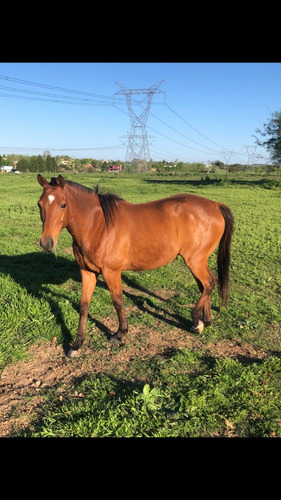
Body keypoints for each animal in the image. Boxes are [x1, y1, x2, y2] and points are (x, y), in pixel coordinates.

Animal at [37, 174, 234, 358]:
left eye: (63, 205)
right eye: (40, 205)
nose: (46, 243)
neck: (98, 226)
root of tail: (216, 205)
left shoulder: (111, 272)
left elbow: (118, 302)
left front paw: (119, 333)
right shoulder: (87, 272)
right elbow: (84, 306)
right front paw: (77, 344)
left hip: (195, 261)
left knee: (209, 283)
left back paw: (196, 321)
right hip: (198, 261)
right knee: (206, 285)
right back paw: (204, 321)